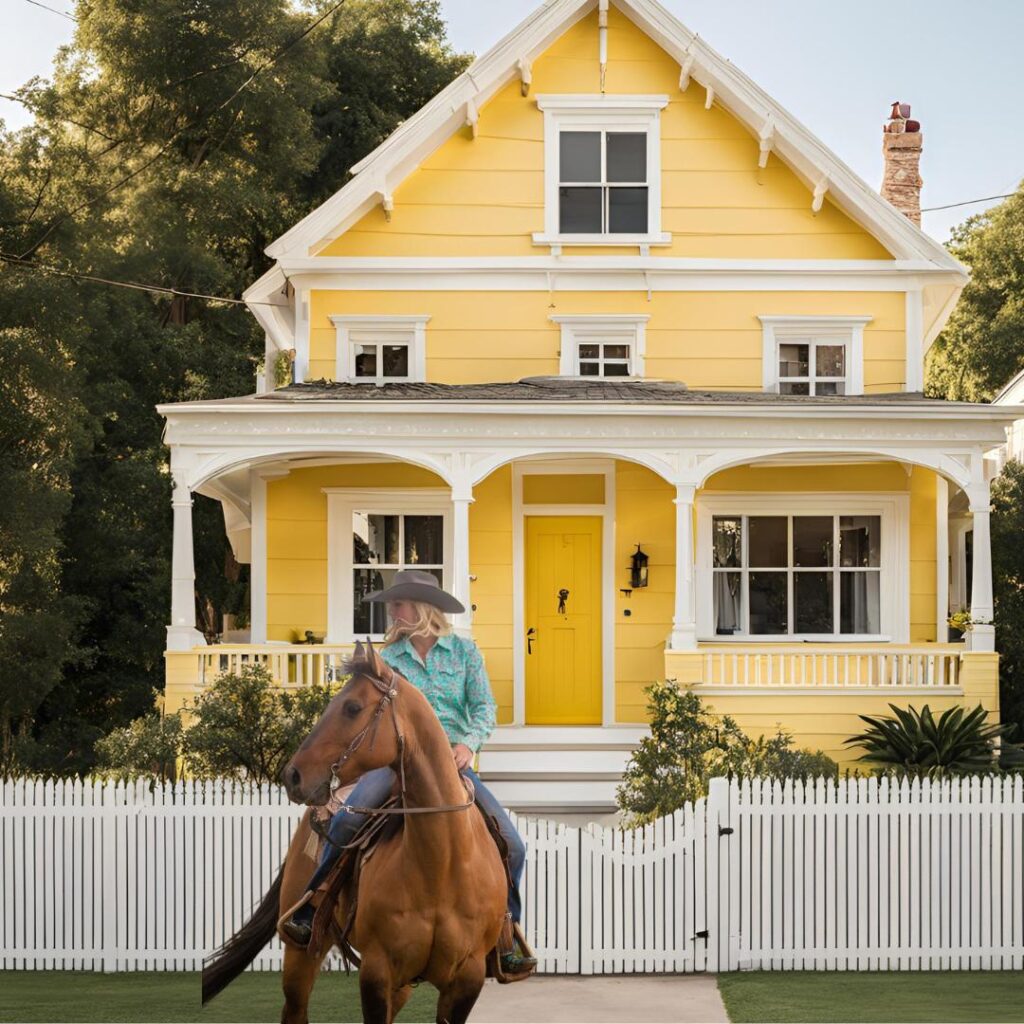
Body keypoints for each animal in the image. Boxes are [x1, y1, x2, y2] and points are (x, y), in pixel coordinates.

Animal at [201, 639, 509, 1024]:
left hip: (404, 984)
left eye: (352, 707)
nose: (292, 775)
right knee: (295, 1008)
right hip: (300, 955)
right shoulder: (377, 971)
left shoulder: (466, 979)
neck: (442, 865)